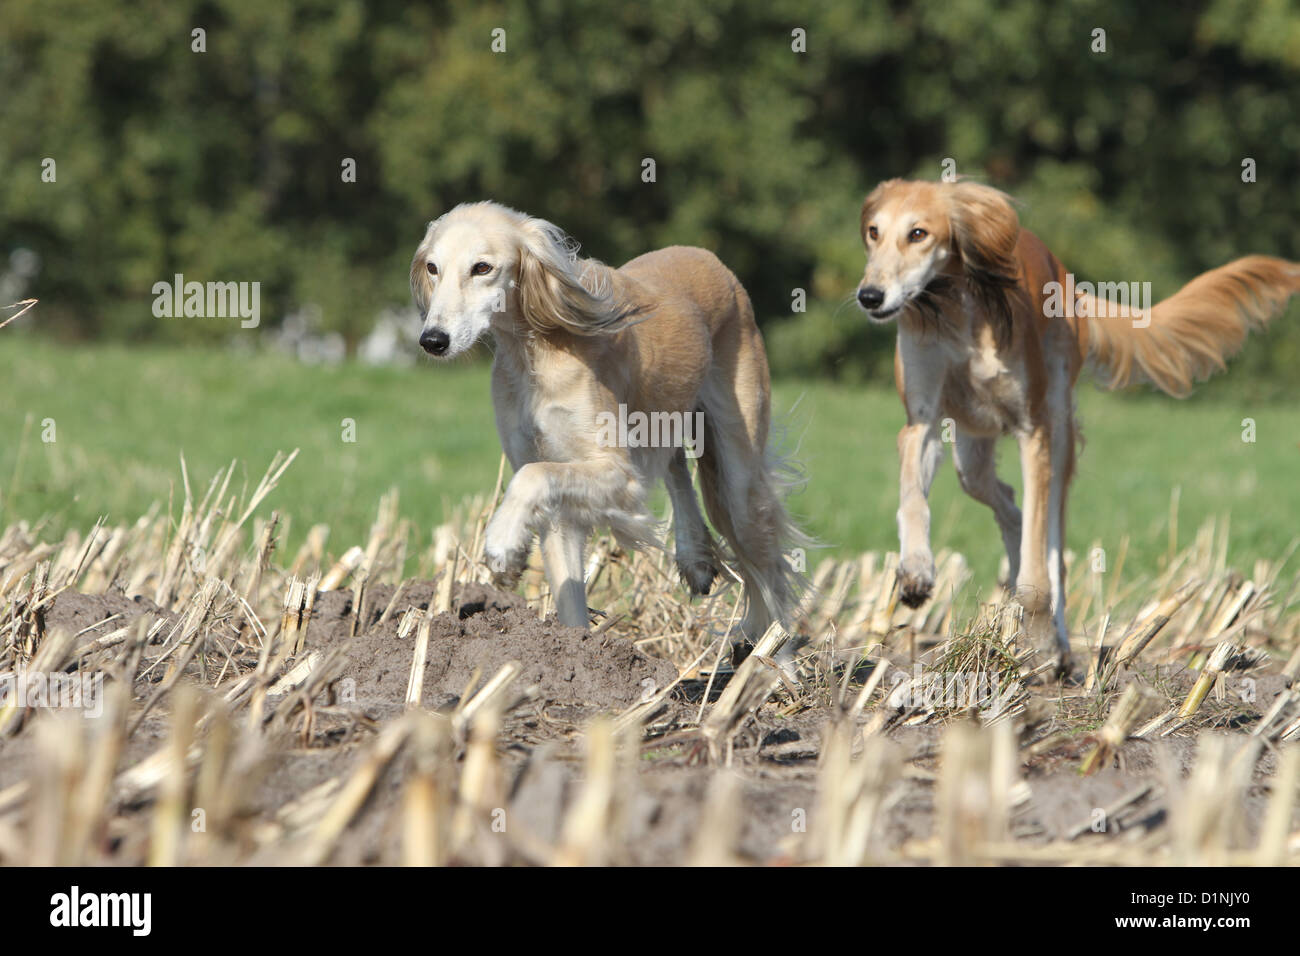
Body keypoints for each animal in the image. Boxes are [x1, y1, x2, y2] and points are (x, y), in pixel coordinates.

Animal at [410, 201, 806, 660]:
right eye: (433, 267)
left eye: (482, 267)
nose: (433, 340)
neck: (536, 352)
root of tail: (712, 259)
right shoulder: (560, 496)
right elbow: (567, 592)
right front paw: (574, 656)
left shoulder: (618, 474)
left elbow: (531, 478)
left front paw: (503, 546)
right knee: (675, 465)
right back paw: (695, 557)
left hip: (739, 475)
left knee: (768, 577)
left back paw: (773, 663)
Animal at [857, 180, 1294, 671]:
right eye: (873, 232)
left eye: (918, 233)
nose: (870, 296)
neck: (958, 312)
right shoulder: (922, 422)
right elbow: (913, 499)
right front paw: (915, 570)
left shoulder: (1034, 430)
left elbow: (1040, 567)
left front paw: (1044, 644)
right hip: (972, 449)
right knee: (1006, 501)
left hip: (1058, 429)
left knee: (1050, 544)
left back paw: (1058, 642)